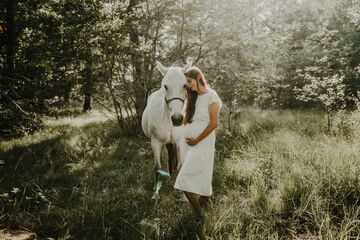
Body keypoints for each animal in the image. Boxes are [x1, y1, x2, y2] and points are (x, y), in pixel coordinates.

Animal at [141, 61, 191, 200]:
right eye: (165, 86)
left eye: (184, 85)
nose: (177, 119)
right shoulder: (156, 143)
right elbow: (157, 167)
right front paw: (156, 194)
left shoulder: (179, 142)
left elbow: (180, 166)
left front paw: (183, 194)